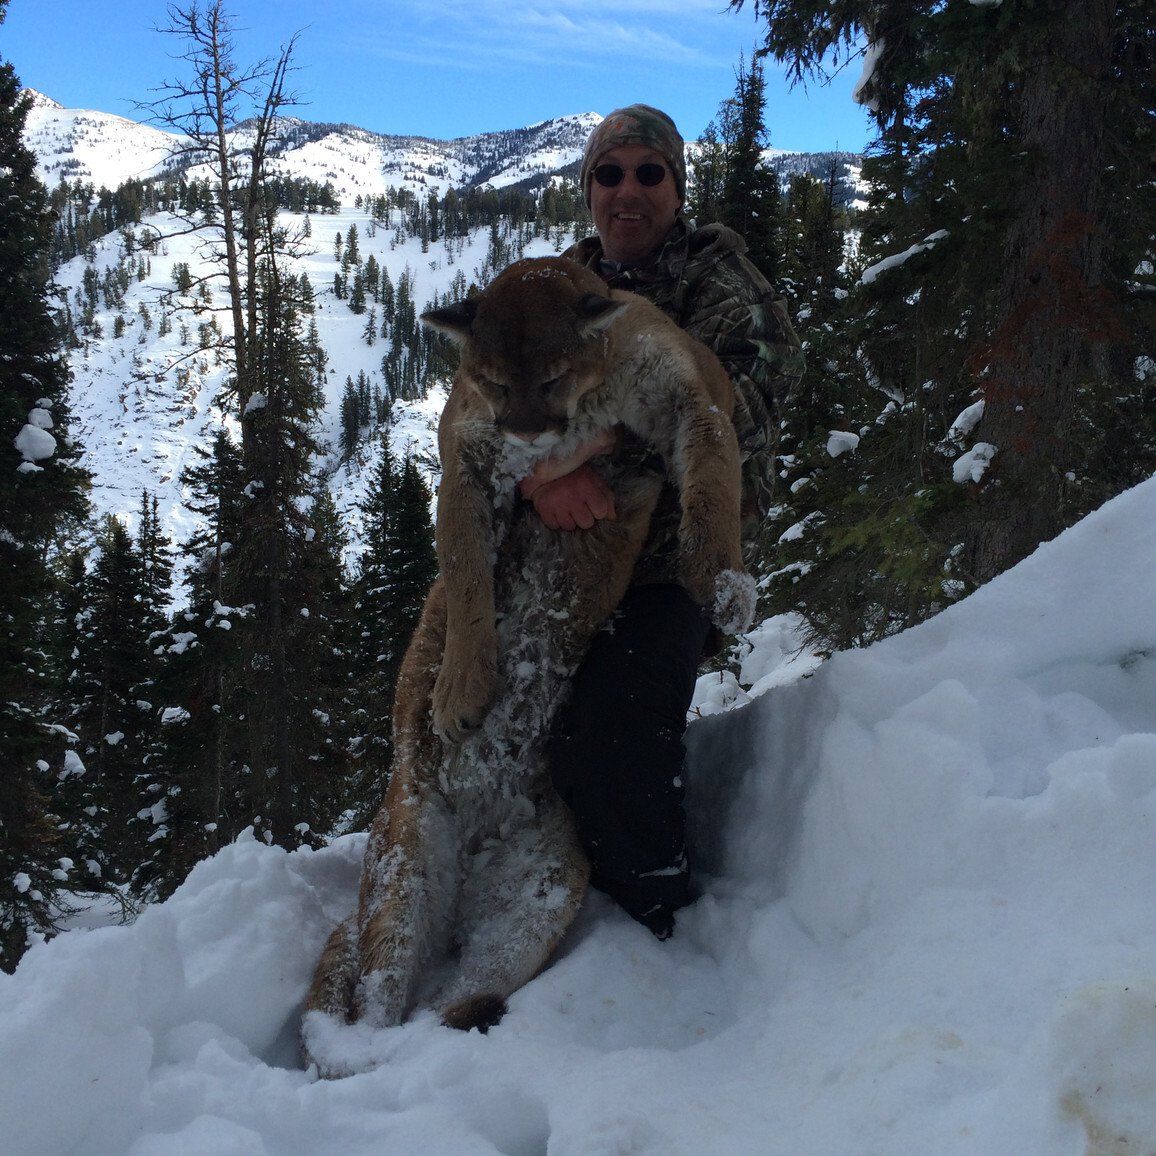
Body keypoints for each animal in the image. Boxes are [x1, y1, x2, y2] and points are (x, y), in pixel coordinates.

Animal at [301, 256, 753, 1071]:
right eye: (490, 379)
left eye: (549, 376)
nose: (526, 431)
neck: (587, 403)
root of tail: (480, 836)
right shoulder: (465, 454)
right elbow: (466, 579)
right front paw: (459, 689)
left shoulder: (691, 398)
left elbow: (713, 480)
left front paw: (722, 582)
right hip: (402, 876)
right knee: (374, 1009)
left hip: (539, 901)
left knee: (448, 1003)